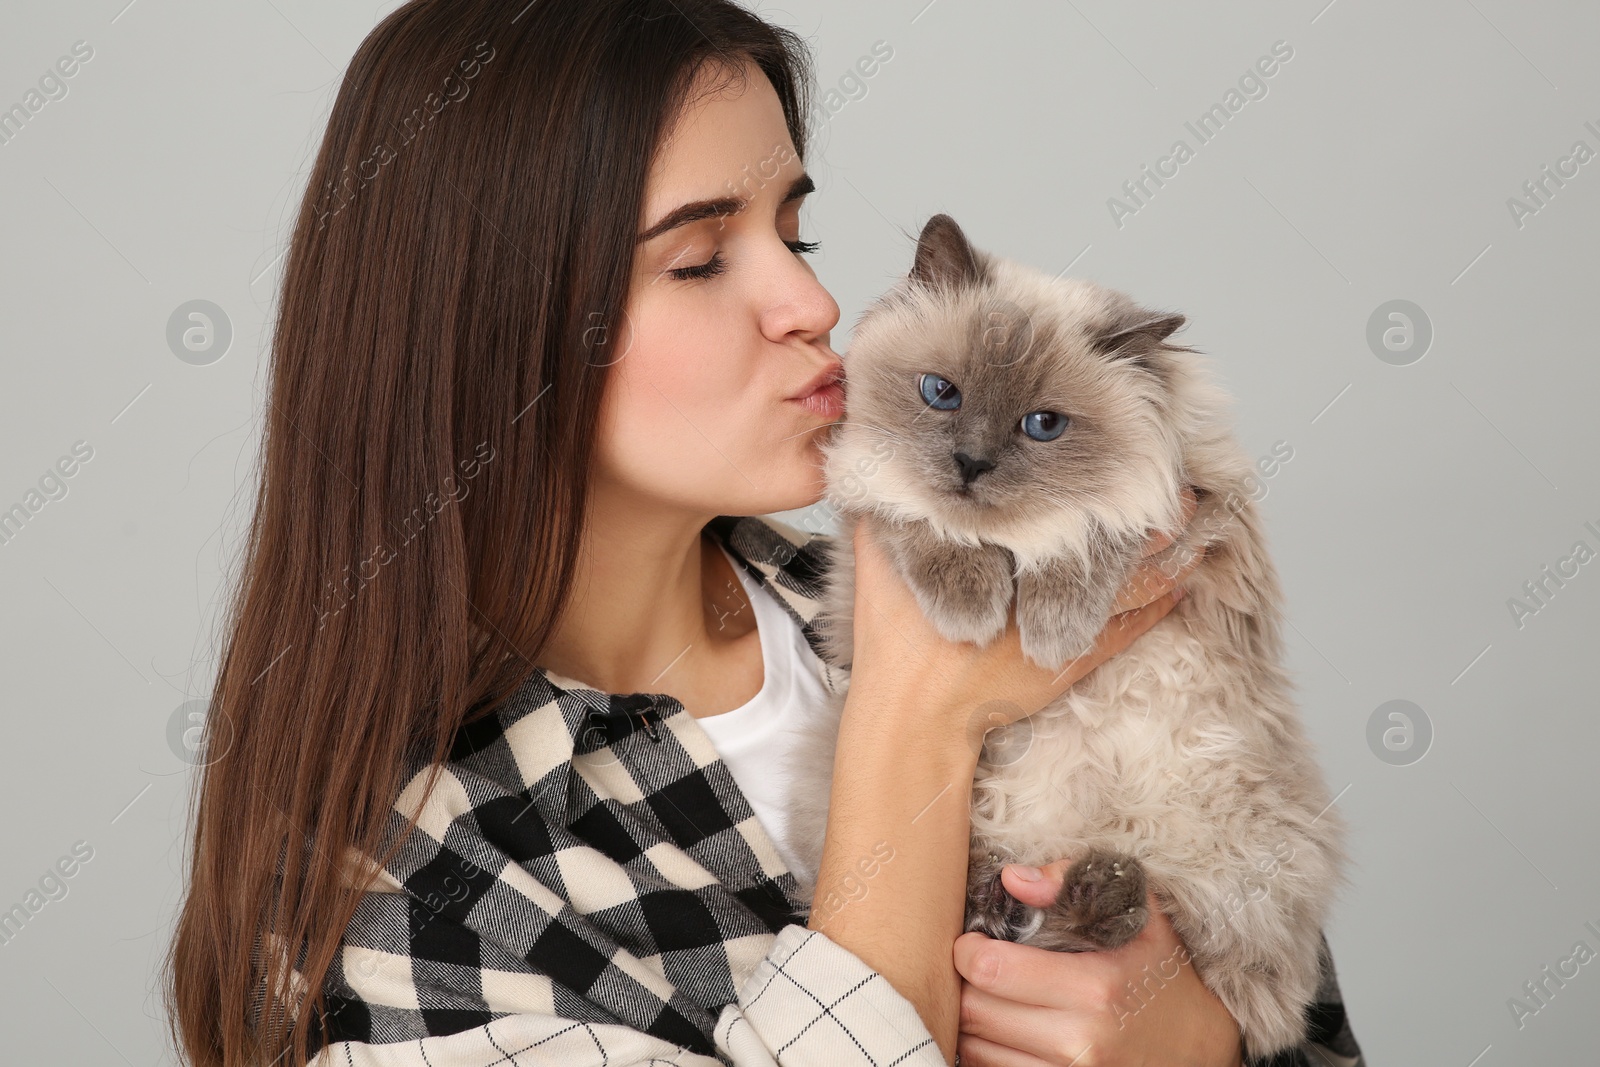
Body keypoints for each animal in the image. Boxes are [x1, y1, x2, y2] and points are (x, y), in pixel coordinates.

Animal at [787, 214, 1350, 1062]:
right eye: (940, 393)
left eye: (1042, 425)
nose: (970, 465)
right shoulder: (866, 508)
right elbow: (924, 523)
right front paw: (973, 603)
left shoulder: (1196, 511)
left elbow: (1091, 536)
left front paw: (1053, 629)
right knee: (1002, 908)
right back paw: (1022, 896)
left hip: (1234, 861)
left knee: (1227, 974)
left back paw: (1099, 888)